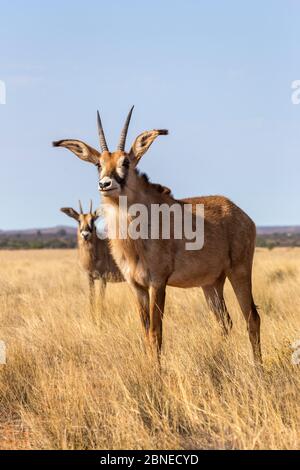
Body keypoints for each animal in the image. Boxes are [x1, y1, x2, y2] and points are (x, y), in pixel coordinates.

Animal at [54, 109, 262, 364]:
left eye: (126, 162)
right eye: (98, 164)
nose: (105, 183)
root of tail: (240, 213)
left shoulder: (158, 283)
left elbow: (156, 333)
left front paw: (157, 371)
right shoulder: (137, 286)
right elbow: (145, 332)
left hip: (239, 270)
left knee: (251, 318)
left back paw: (258, 367)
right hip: (211, 283)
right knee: (224, 322)